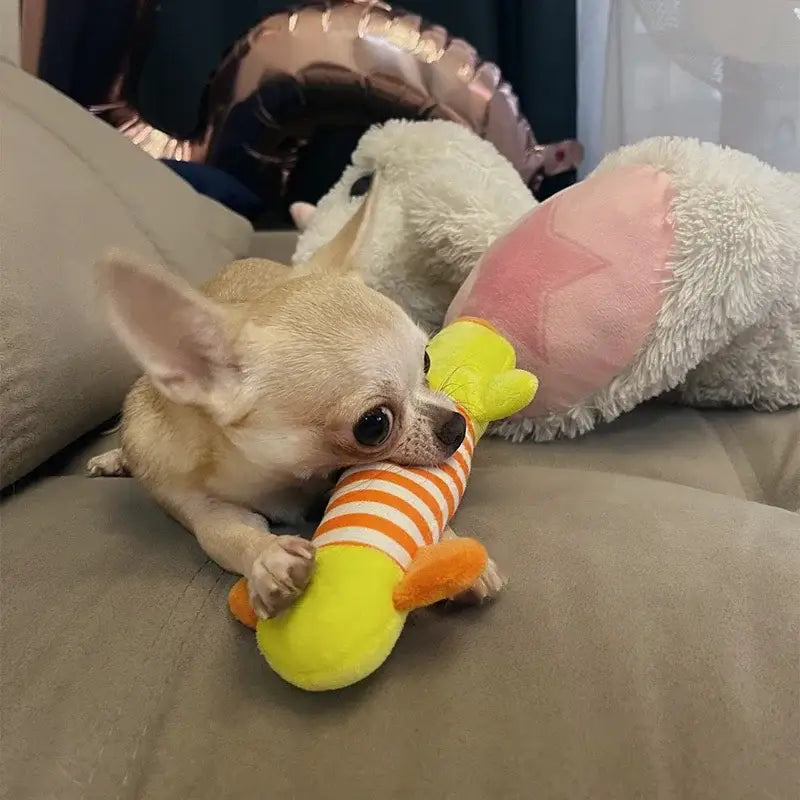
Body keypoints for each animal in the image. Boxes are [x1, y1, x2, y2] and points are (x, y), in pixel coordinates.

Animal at [90, 181, 504, 620]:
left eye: (426, 360)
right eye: (374, 424)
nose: (456, 425)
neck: (280, 479)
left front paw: (452, 549)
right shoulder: (198, 503)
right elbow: (227, 534)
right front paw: (268, 558)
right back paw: (115, 458)